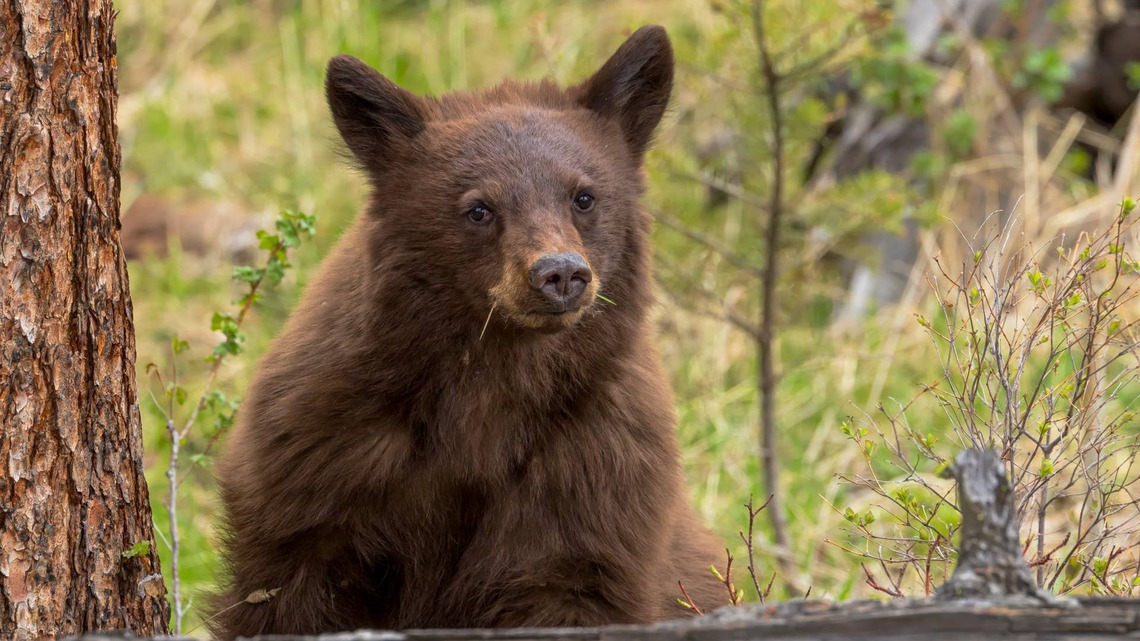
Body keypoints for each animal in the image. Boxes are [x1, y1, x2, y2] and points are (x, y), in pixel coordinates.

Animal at [208, 25, 727, 639]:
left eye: (584, 196)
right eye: (478, 208)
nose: (560, 273)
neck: (492, 384)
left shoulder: (593, 465)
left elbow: (569, 576)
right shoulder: (320, 451)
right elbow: (286, 592)